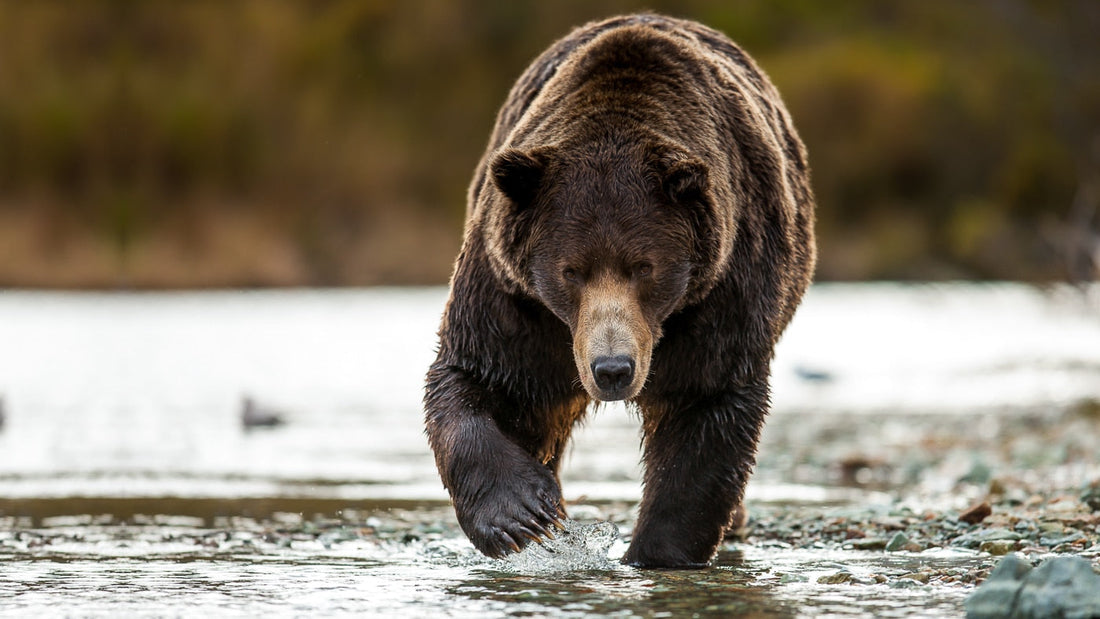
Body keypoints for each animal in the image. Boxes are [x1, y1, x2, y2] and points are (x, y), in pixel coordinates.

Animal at [425, 13, 815, 568]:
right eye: (571, 270)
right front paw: (521, 514)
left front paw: (655, 552)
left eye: (644, 267)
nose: (612, 369)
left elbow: (705, 414)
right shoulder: (516, 299)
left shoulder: (720, 293)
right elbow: (479, 378)